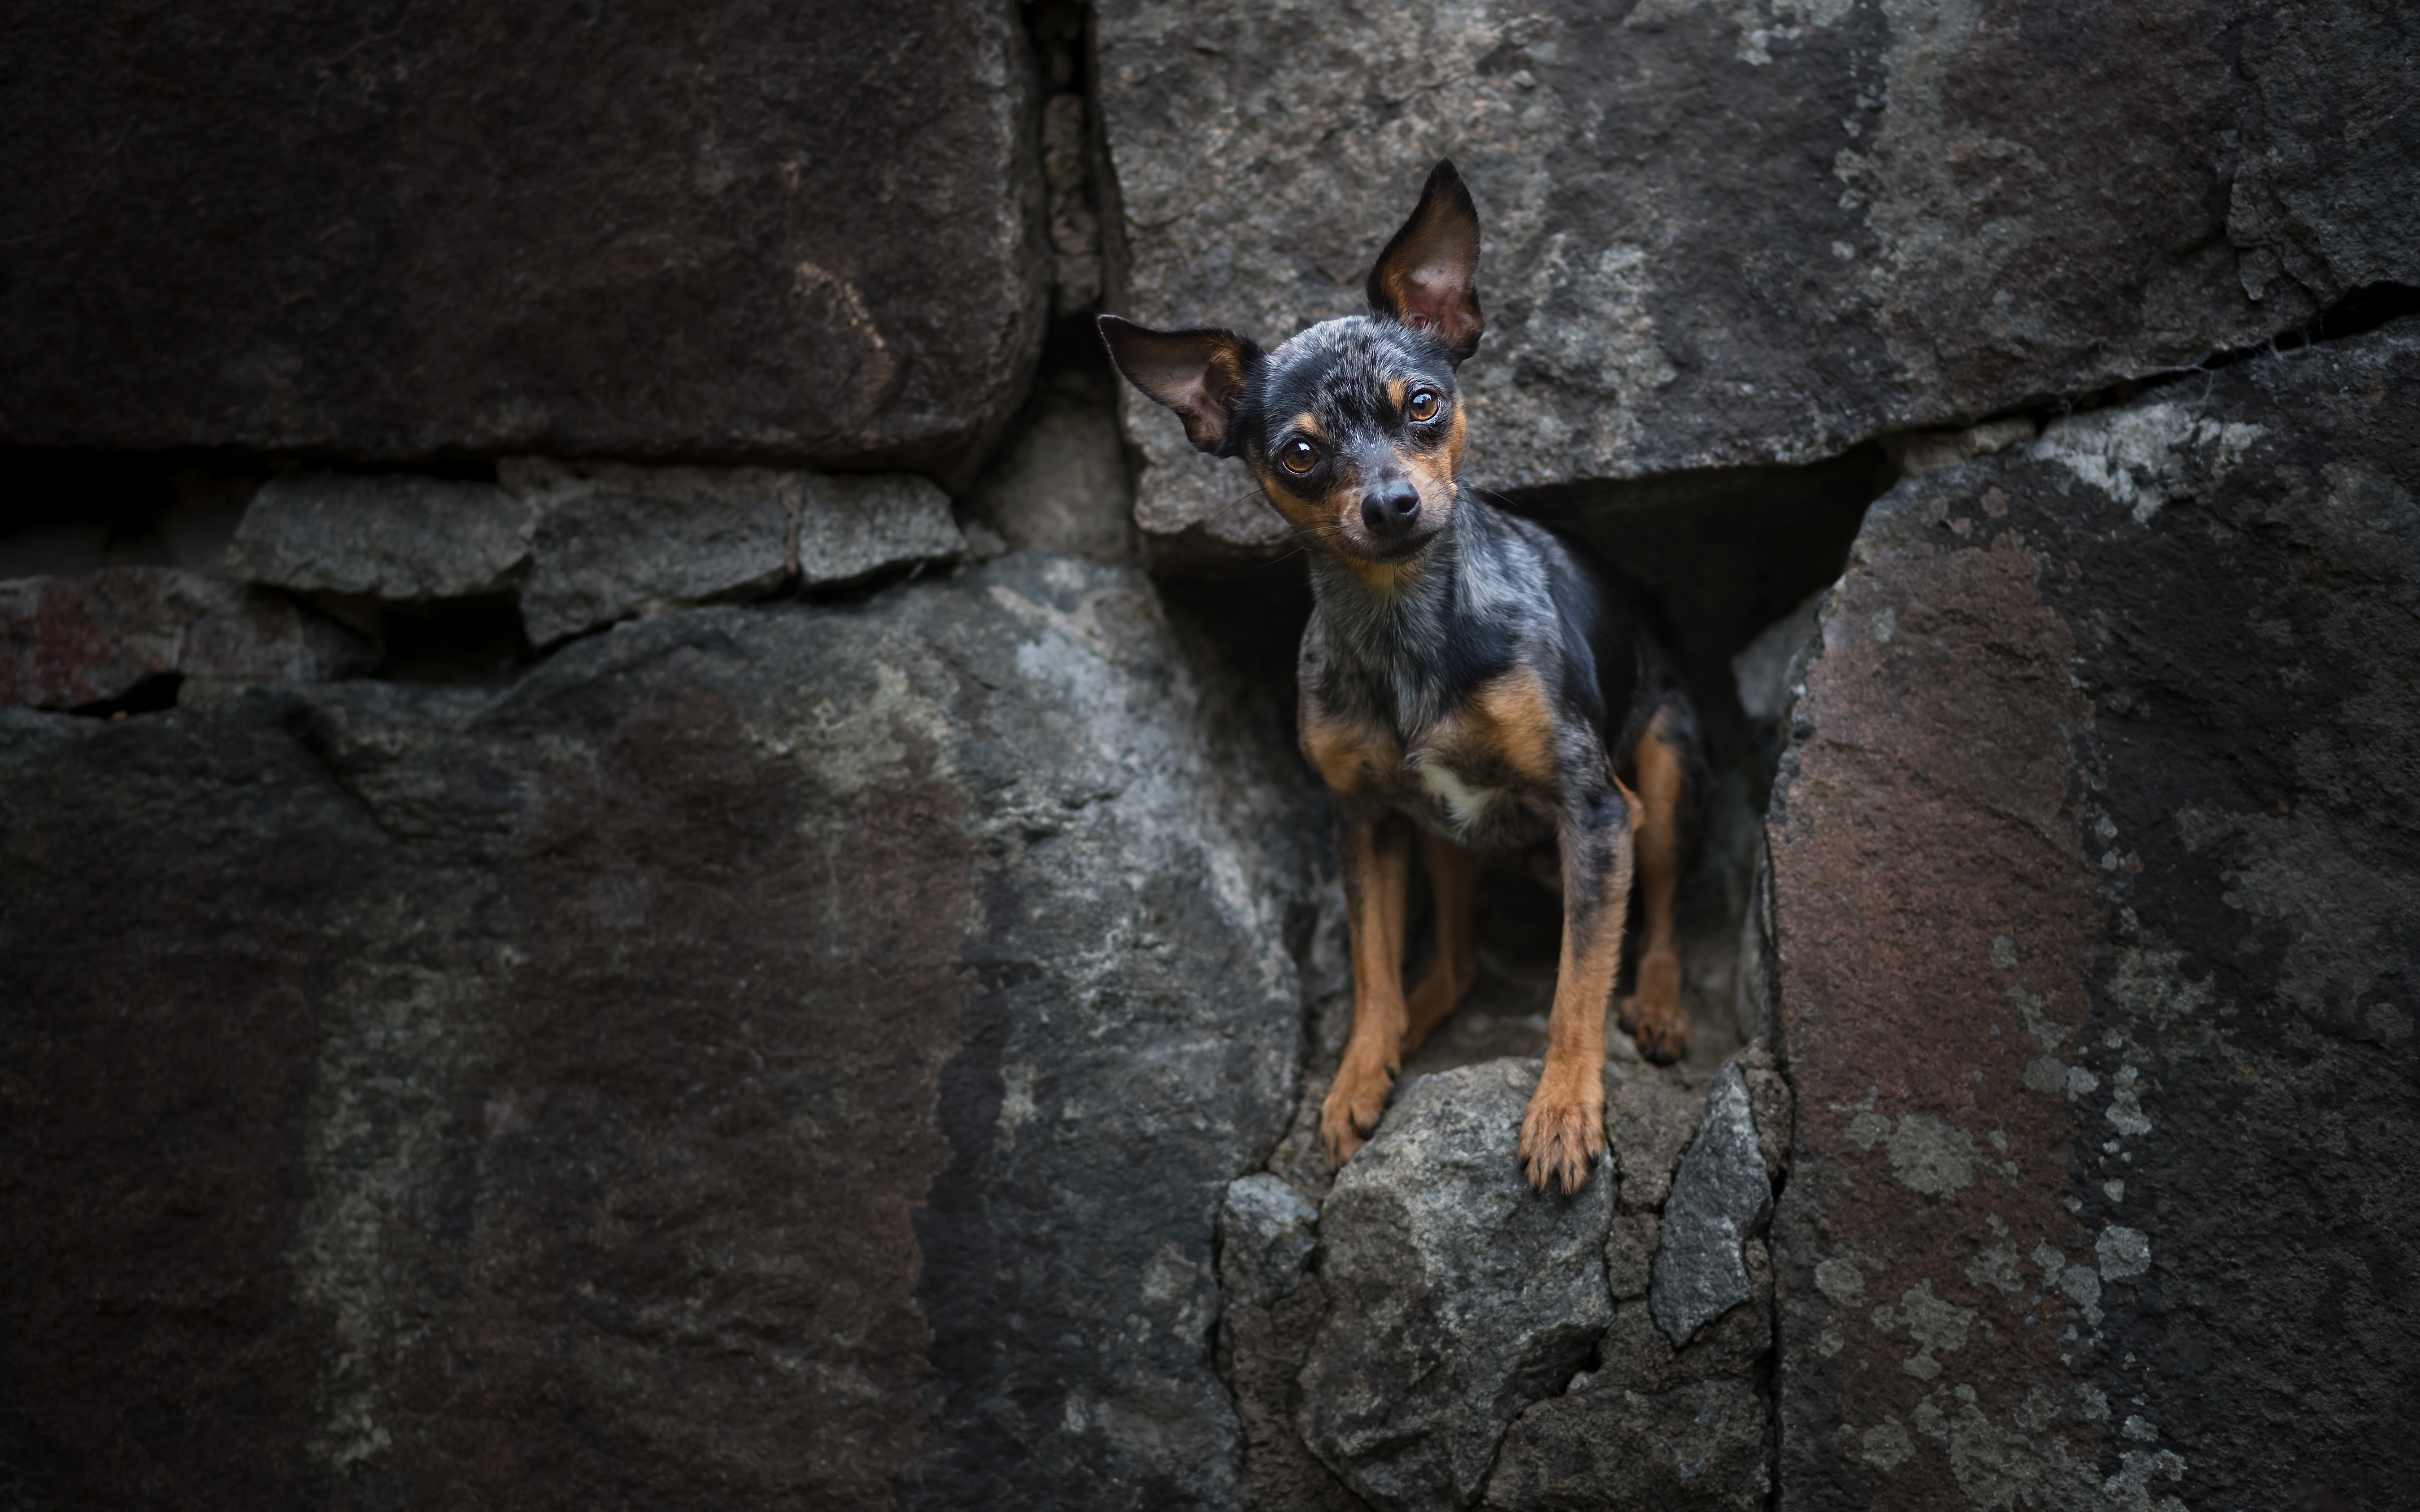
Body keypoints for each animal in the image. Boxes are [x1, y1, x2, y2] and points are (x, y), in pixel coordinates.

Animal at [1103, 153, 1703, 1190]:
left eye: (1421, 403)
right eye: (1300, 453)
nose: (1390, 502)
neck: (1403, 629)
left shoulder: (1594, 813)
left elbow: (1577, 984)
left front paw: (1562, 1111)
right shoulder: (1366, 822)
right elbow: (1374, 968)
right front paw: (1356, 1078)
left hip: (1658, 785)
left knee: (1659, 913)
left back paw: (1661, 1005)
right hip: (1441, 834)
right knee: (1451, 965)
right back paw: (1408, 1037)